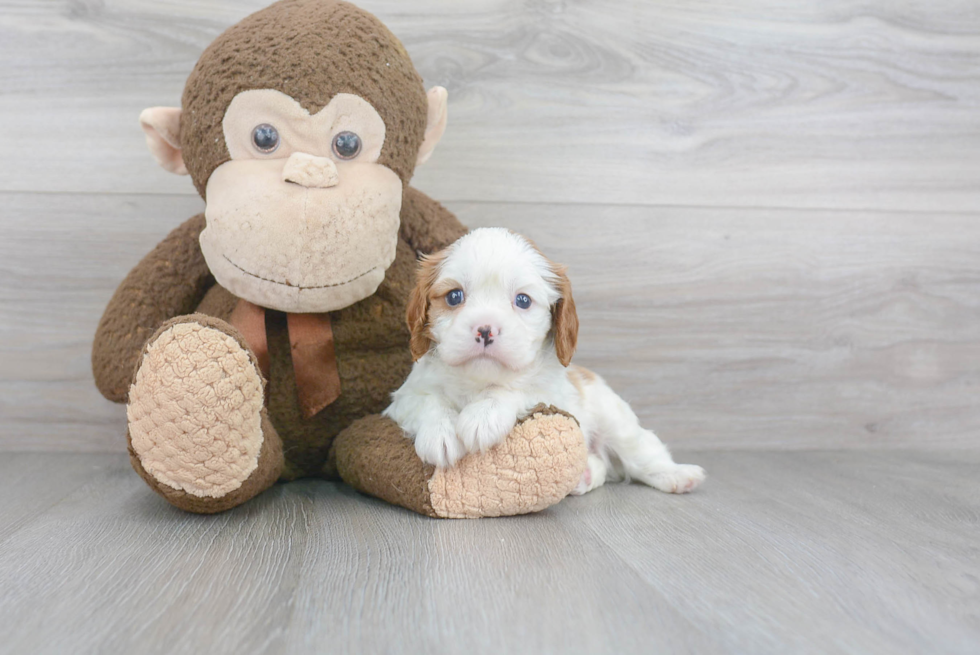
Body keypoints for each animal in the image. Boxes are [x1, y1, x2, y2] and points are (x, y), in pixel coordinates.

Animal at [382, 228, 704, 494]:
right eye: (454, 296)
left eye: (523, 300)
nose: (485, 329)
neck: (478, 381)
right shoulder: (404, 398)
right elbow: (429, 401)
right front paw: (440, 433)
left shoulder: (551, 394)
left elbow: (515, 390)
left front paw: (483, 415)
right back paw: (586, 474)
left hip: (615, 419)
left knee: (642, 452)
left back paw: (678, 475)